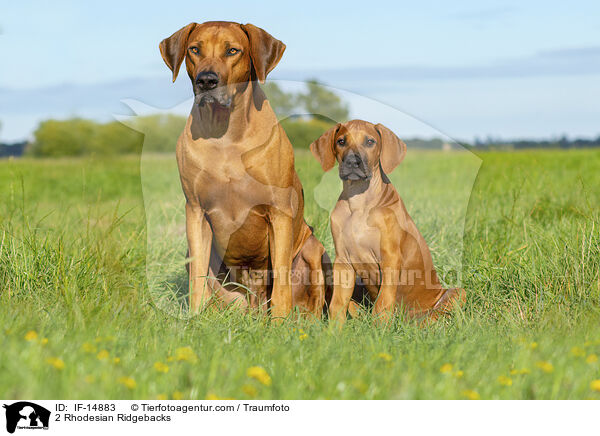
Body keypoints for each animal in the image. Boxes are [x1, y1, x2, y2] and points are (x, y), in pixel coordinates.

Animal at [159, 21, 328, 320]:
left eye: (232, 51)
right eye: (194, 49)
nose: (206, 80)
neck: (226, 134)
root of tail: (255, 303)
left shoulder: (279, 212)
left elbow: (281, 279)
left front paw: (280, 323)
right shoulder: (195, 210)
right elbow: (197, 279)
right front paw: (194, 319)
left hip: (313, 250)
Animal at [312, 119, 466, 324]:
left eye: (370, 141)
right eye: (341, 141)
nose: (352, 162)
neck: (359, 202)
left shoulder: (390, 258)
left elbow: (383, 302)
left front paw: (380, 329)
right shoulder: (343, 260)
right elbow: (337, 303)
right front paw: (334, 330)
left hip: (455, 294)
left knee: (433, 317)